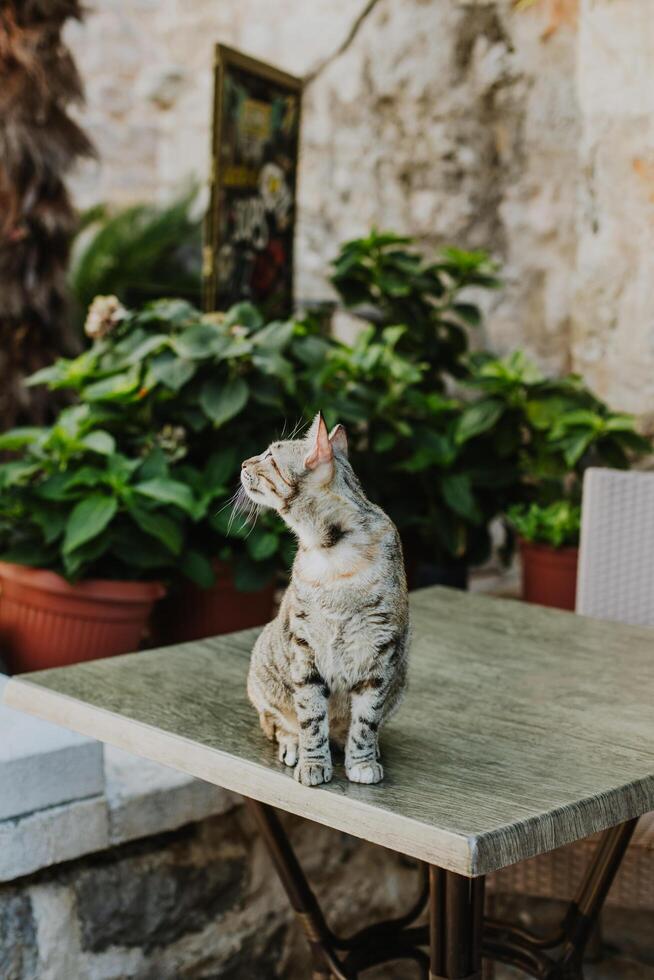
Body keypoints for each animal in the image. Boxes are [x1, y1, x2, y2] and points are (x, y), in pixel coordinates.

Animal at [241, 414, 410, 788]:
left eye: (270, 456)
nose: (244, 462)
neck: (331, 552)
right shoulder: (304, 649)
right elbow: (311, 718)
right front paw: (313, 763)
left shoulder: (381, 650)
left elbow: (366, 720)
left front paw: (362, 761)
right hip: (263, 676)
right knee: (279, 723)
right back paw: (293, 746)